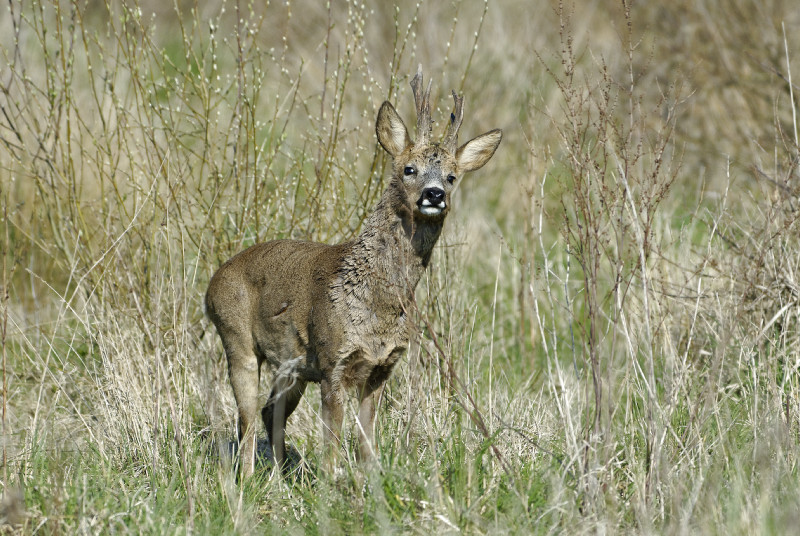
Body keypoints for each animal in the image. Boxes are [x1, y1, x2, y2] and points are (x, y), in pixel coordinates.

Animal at [205, 65, 500, 476]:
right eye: (409, 168)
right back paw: (248, 480)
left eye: (453, 176)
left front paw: (369, 480)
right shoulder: (333, 360)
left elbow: (366, 441)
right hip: (236, 338)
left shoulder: (382, 367)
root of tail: (213, 281)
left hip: (291, 367)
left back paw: (279, 476)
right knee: (246, 419)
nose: (435, 194)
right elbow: (332, 444)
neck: (378, 306)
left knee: (269, 412)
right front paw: (331, 483)